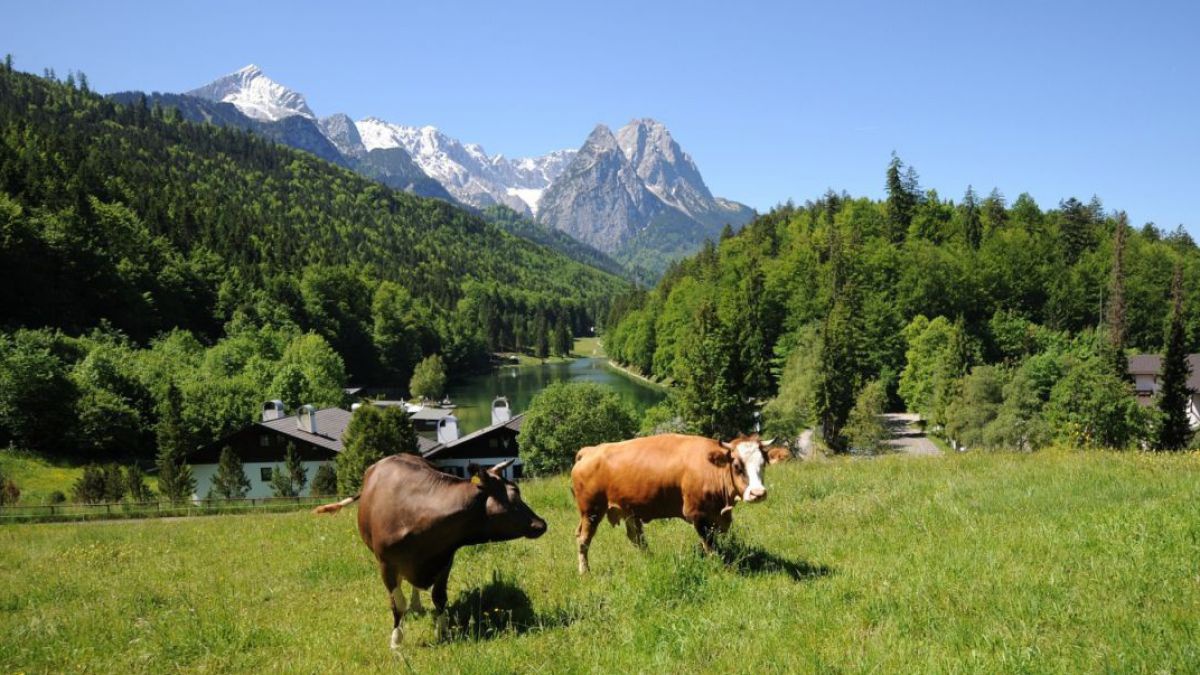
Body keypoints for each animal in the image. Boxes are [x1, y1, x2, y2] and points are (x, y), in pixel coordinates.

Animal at [316, 451, 547, 648]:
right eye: (514, 495)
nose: (541, 524)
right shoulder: (386, 564)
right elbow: (397, 604)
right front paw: (396, 640)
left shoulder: (444, 559)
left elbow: (439, 597)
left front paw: (442, 631)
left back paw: (417, 604)